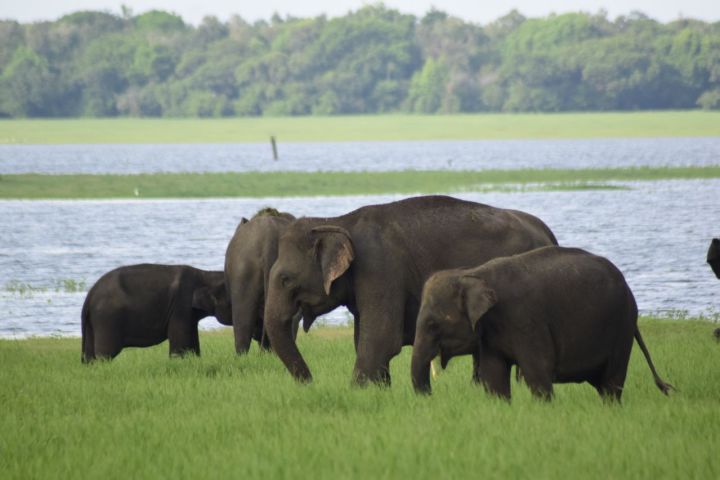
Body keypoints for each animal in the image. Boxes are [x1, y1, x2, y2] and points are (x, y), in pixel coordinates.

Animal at [81, 264, 230, 362]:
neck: (205, 275)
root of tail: (90, 295)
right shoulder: (180, 307)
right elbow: (180, 344)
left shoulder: (189, 313)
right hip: (107, 319)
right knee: (106, 354)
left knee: (90, 355)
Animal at [263, 195, 558, 385]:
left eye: (286, 279)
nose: (310, 382)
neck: (341, 221)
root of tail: (547, 231)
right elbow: (362, 338)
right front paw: (380, 390)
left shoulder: (381, 267)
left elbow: (380, 338)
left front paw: (360, 390)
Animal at [411, 246, 674, 401]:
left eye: (433, 324)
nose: (430, 398)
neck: (473, 273)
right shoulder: (490, 334)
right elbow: (494, 376)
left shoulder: (526, 320)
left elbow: (537, 371)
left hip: (621, 325)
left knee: (612, 383)